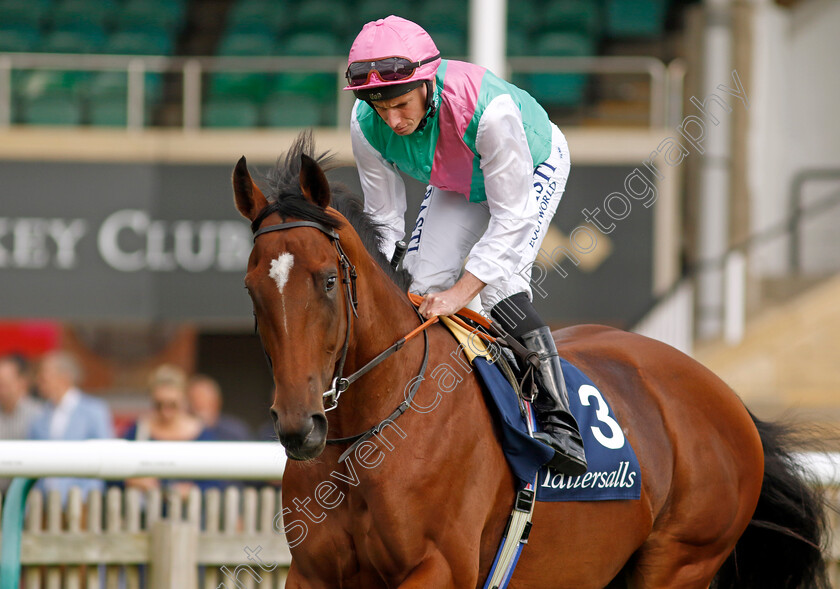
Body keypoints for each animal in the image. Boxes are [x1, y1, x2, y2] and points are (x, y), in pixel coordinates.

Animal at [233, 134, 832, 588]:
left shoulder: (438, 567)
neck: (371, 434)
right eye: (252, 289)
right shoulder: (313, 573)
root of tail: (726, 396)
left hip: (682, 559)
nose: (299, 426)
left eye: (328, 281)